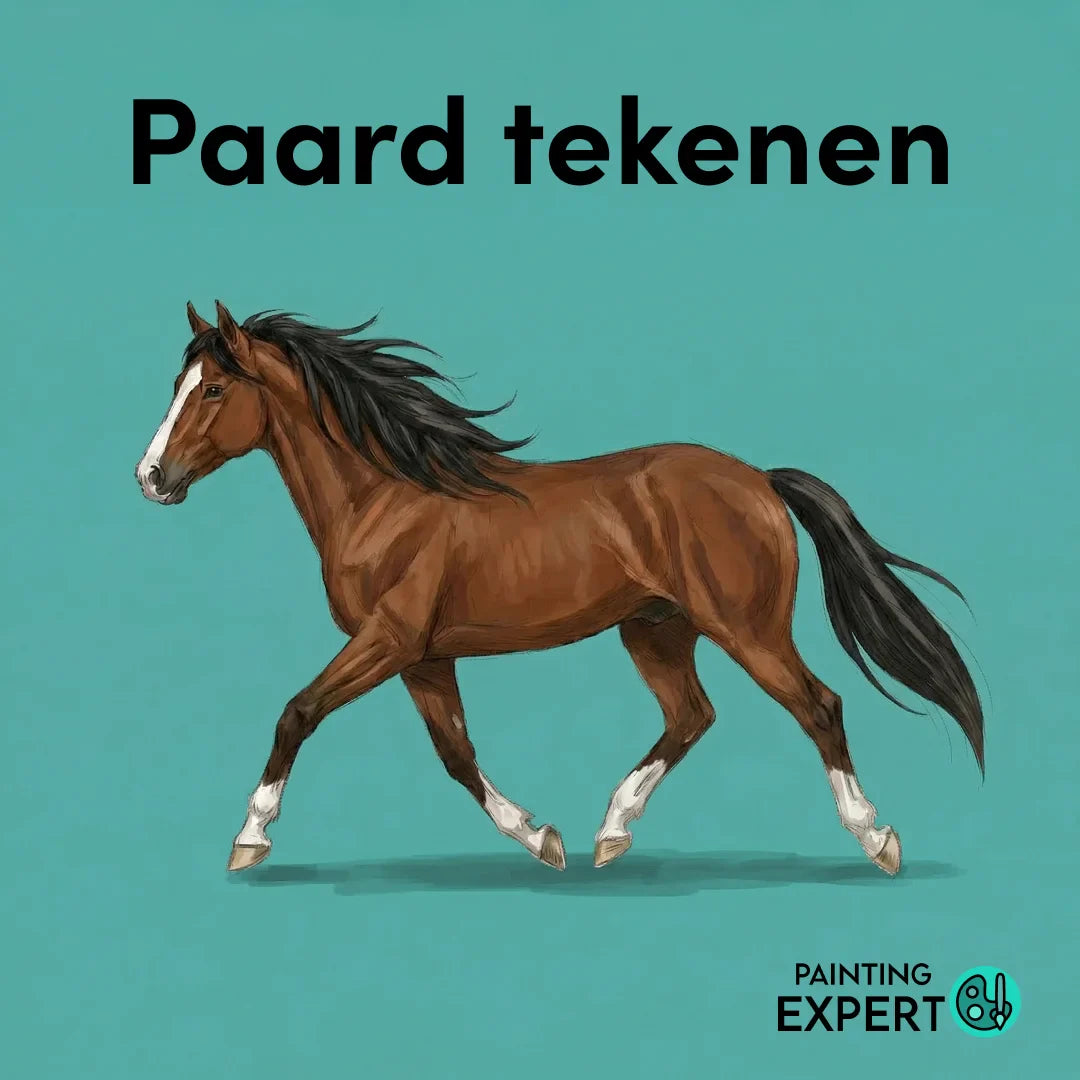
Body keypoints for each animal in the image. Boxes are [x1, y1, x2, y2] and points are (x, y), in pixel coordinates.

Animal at [135, 301, 984, 876]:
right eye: (178, 382)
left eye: (213, 390)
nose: (150, 478)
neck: (383, 495)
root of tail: (759, 480)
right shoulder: (423, 656)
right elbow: (456, 754)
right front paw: (542, 838)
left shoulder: (388, 639)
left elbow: (297, 713)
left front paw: (250, 839)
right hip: (655, 628)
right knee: (692, 716)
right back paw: (611, 834)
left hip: (747, 628)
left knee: (818, 706)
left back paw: (877, 839)